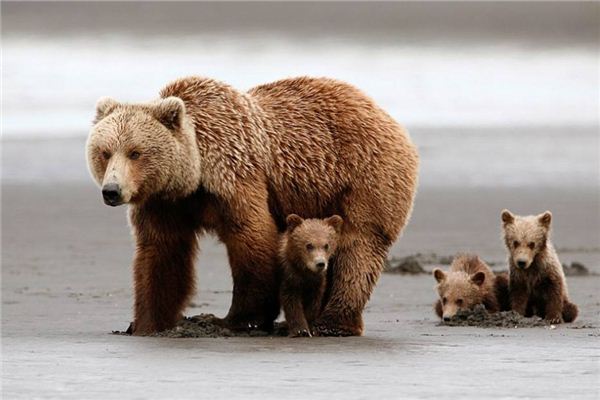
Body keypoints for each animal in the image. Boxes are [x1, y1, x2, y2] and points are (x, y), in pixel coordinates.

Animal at [86, 76, 420, 336]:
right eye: (104, 151)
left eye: (135, 152)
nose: (112, 191)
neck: (195, 174)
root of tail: (386, 116)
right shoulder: (165, 203)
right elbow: (161, 252)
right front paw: (147, 322)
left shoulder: (235, 175)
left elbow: (251, 236)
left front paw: (237, 319)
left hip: (365, 176)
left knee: (358, 247)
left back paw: (333, 323)